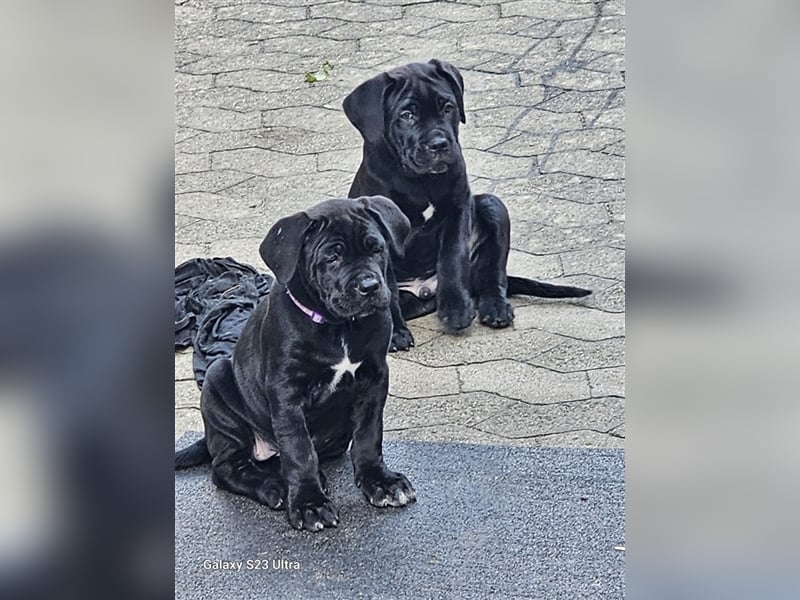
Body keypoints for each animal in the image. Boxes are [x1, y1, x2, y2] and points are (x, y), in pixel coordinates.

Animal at [173, 196, 412, 528]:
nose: (369, 286)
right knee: (227, 468)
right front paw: (309, 503)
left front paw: (380, 481)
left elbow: (368, 434)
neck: (339, 327)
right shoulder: (286, 391)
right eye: (332, 258)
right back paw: (275, 485)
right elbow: (298, 448)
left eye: (376, 248)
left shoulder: (374, 378)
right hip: (217, 379)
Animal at [340, 58, 592, 350]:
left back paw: (494, 307)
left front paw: (456, 309)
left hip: (492, 206)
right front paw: (394, 332)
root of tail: (424, 289)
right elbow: (387, 286)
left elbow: (453, 258)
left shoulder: (458, 207)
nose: (439, 144)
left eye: (447, 107)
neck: (420, 180)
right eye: (406, 115)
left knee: (492, 275)